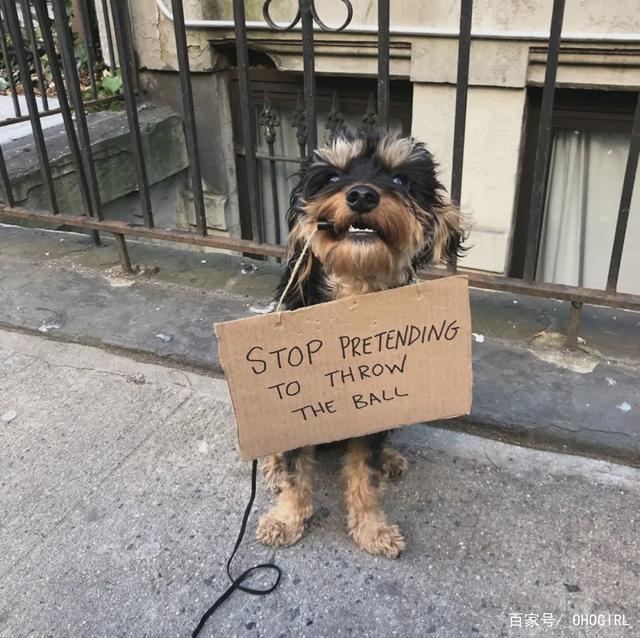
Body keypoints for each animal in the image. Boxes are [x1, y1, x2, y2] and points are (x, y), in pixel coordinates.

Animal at [255, 131, 464, 560]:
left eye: (400, 179)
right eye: (333, 177)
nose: (363, 195)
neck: (353, 293)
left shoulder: (371, 411)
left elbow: (364, 477)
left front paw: (371, 528)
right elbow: (296, 472)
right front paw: (286, 518)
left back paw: (389, 459)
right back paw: (271, 466)